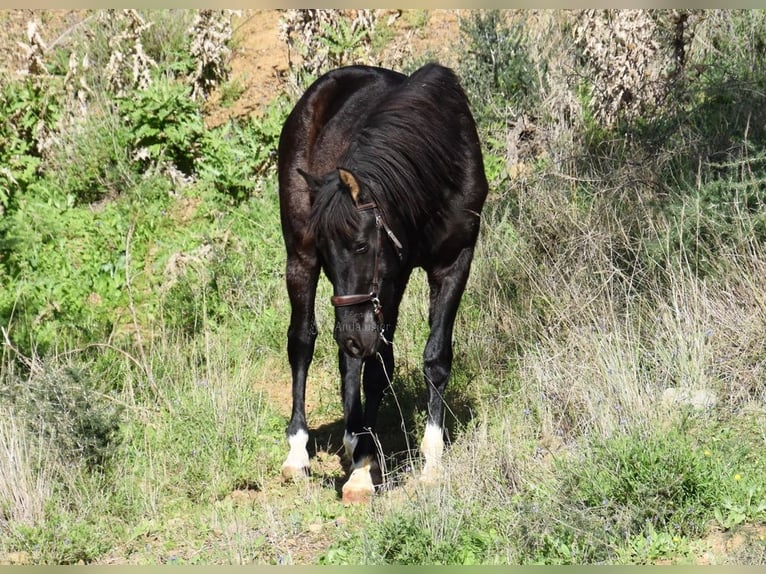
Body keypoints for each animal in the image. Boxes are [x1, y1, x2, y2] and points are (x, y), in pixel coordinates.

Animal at [280, 64, 488, 504]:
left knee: (350, 359)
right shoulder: (380, 285)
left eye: (361, 245)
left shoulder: (449, 264)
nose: (350, 335)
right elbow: (376, 367)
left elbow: (433, 358)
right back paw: (299, 451)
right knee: (303, 342)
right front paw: (361, 471)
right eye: (328, 250)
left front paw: (431, 462)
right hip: (301, 260)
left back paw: (353, 435)